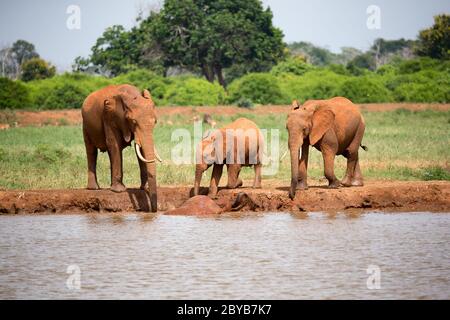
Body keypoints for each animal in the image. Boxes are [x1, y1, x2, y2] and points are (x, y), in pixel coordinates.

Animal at [81, 84, 163, 212]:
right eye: (133, 121)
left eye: (155, 122)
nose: (153, 211)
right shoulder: (109, 115)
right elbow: (113, 143)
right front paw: (119, 191)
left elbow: (139, 150)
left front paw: (144, 188)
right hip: (85, 125)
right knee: (91, 151)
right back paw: (94, 188)